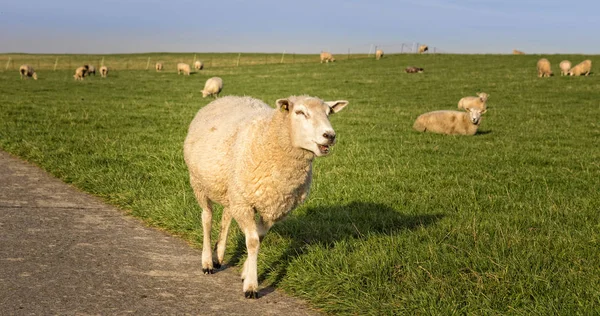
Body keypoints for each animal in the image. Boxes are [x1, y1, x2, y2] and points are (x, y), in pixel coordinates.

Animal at [185, 94, 350, 298]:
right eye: (300, 112)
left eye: (329, 113)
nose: (330, 136)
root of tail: (228, 97)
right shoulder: (245, 204)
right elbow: (253, 241)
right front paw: (251, 286)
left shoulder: (273, 207)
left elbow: (259, 238)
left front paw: (246, 273)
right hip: (199, 183)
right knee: (207, 217)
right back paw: (207, 262)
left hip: (232, 189)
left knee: (226, 216)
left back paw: (219, 256)